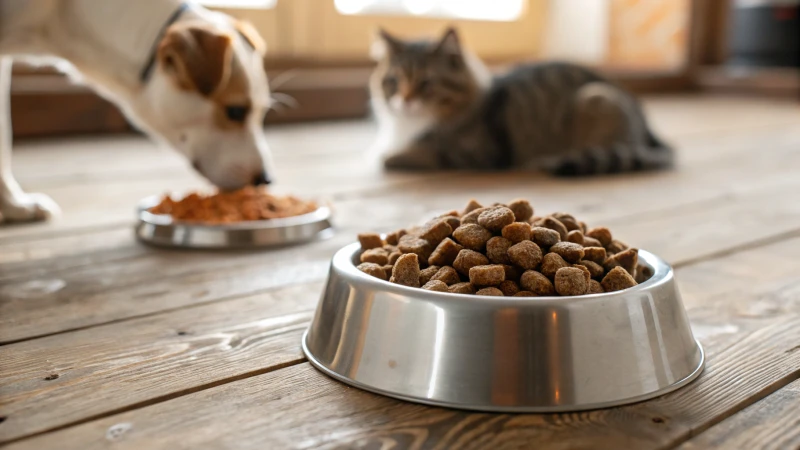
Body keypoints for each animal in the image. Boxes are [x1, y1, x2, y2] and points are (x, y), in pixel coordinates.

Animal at [370, 27, 676, 176]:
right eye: (393, 81)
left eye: (426, 84)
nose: (405, 101)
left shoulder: (480, 153)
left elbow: (423, 152)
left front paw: (390, 157)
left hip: (596, 97)